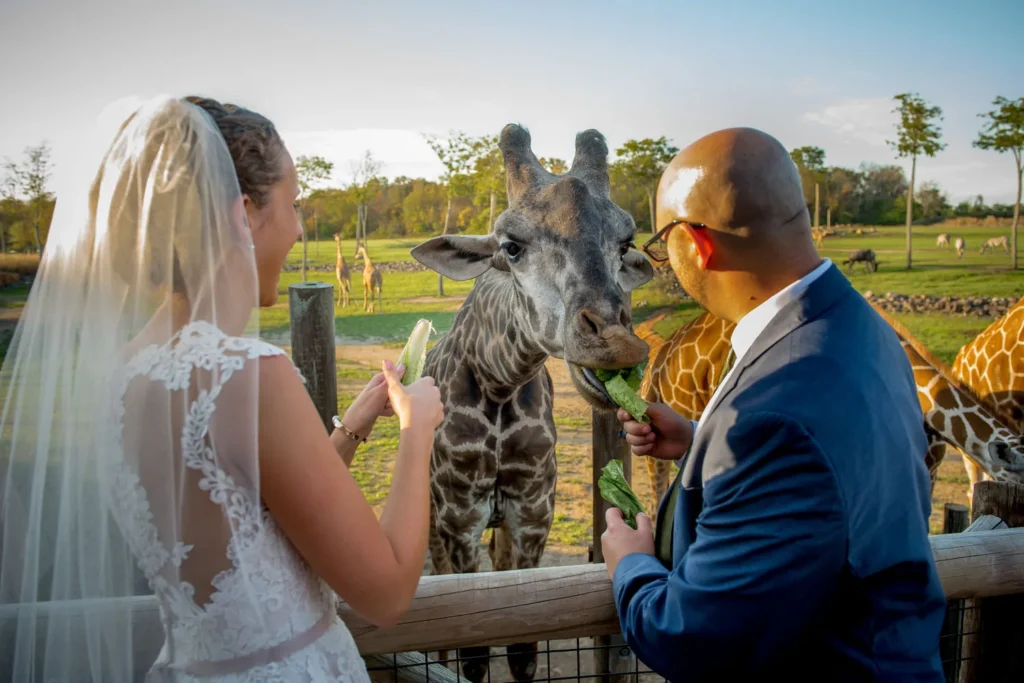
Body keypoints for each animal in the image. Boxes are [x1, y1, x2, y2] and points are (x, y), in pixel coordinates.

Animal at [405, 124, 647, 683]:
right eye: (510, 247)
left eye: (625, 243)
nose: (616, 344)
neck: (497, 382)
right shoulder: (459, 518)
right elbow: (472, 652)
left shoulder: (533, 513)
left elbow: (522, 647)